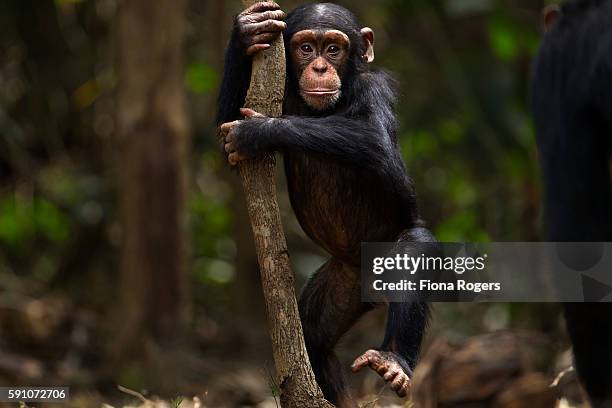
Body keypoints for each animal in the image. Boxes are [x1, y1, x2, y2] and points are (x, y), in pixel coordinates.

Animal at [216, 2, 436, 404]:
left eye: (333, 49)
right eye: (306, 48)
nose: (319, 67)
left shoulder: (375, 88)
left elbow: (376, 140)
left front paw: (258, 131)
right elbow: (226, 138)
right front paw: (248, 31)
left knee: (413, 247)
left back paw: (394, 360)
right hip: (344, 281)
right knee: (314, 336)